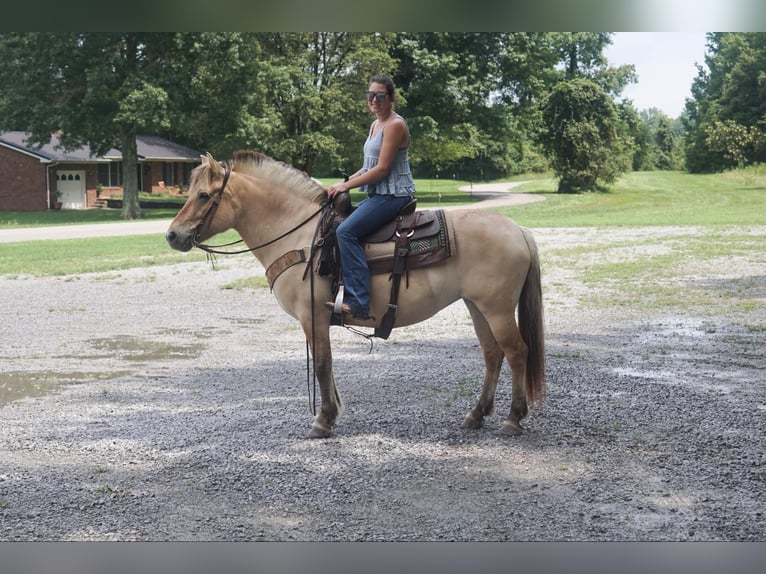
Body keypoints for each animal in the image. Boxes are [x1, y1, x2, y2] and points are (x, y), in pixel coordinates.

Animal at [166, 151, 544, 438]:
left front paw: (323, 420)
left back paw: (513, 418)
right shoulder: (318, 319)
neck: (300, 235)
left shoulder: (313, 316)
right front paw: (331, 414)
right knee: (493, 355)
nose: (172, 235)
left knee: (517, 352)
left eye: (203, 195)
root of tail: (519, 230)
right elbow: (328, 366)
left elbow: (322, 364)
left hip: (497, 309)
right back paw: (476, 414)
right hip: (477, 307)